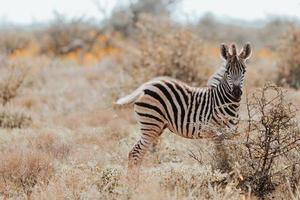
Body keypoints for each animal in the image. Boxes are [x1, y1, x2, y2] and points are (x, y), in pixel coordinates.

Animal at [115, 42, 251, 175]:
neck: (224, 100)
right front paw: (223, 173)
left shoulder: (231, 134)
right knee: (136, 153)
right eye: (227, 71)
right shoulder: (216, 133)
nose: (236, 93)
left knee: (136, 153)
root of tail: (145, 86)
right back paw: (133, 182)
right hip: (151, 125)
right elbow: (223, 157)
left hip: (156, 127)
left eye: (244, 71)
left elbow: (232, 155)